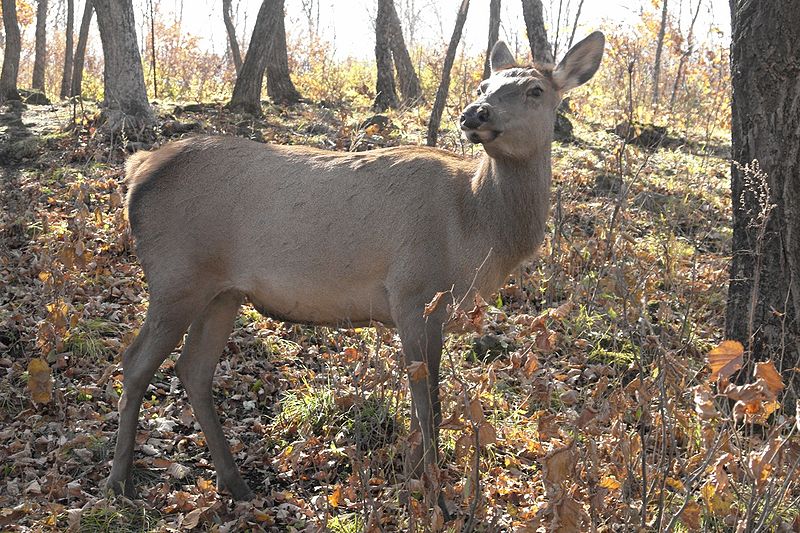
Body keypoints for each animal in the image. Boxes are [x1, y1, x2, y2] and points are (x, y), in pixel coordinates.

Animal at [108, 34, 608, 516]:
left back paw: (235, 484)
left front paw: (412, 480)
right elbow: (429, 405)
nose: (474, 112)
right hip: (177, 275)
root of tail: (137, 169)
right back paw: (119, 482)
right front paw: (436, 498)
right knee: (135, 363)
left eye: (535, 90)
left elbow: (423, 404)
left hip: (222, 292)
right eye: (485, 85)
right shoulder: (413, 292)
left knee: (193, 369)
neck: (478, 229)